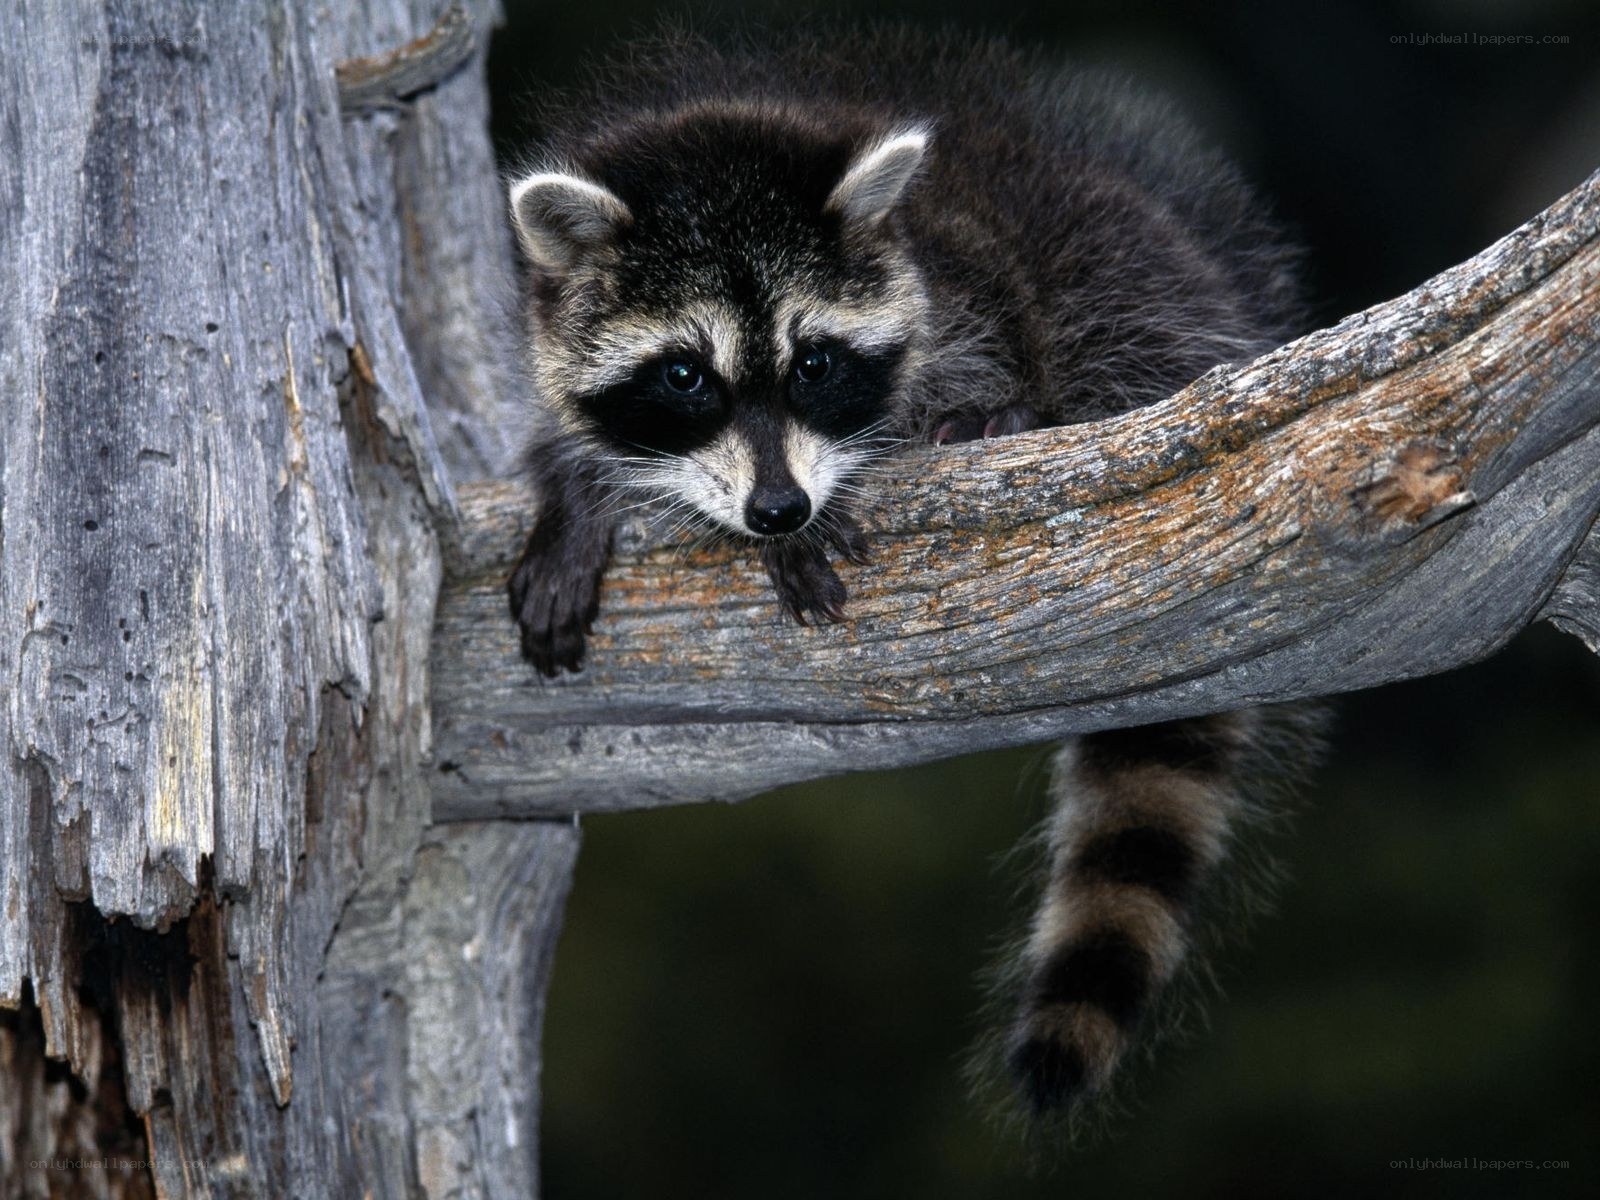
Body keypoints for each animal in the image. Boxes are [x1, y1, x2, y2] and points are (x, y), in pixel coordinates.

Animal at [505, 26, 1320, 1120]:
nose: (778, 510)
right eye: (685, 375)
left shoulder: (967, 288)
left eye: (813, 363)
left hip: (1124, 283)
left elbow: (975, 367)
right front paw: (577, 488)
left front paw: (847, 487)